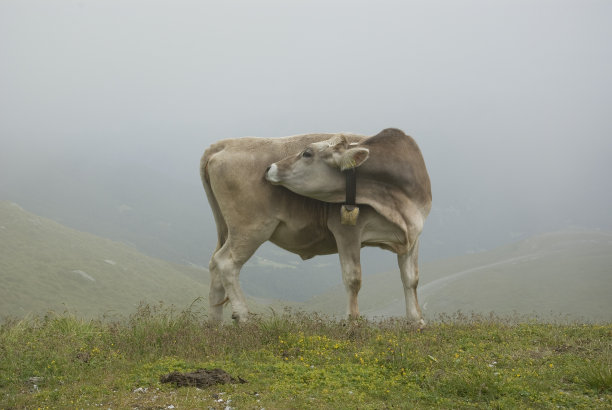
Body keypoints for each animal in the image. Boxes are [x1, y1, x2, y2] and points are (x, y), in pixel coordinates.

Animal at [200, 128, 430, 326]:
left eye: (307, 153)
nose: (270, 168)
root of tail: (227, 143)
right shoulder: (346, 230)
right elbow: (353, 278)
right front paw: (353, 322)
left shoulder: (414, 233)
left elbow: (411, 278)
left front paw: (416, 322)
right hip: (250, 228)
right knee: (226, 263)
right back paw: (244, 317)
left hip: (229, 229)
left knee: (214, 265)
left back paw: (215, 324)